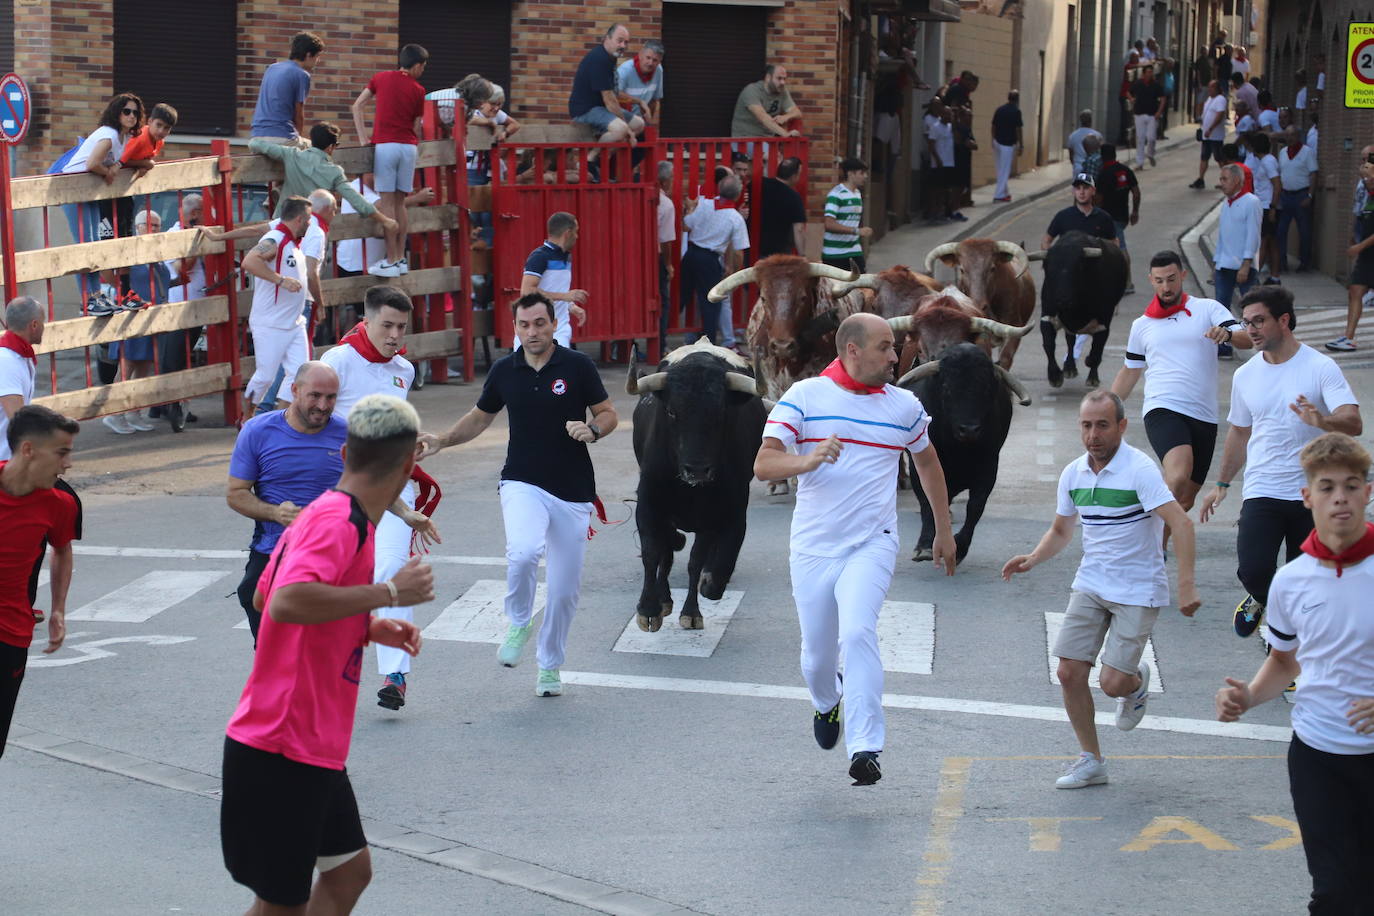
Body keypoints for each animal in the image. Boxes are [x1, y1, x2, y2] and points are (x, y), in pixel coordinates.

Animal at [629, 343, 769, 631]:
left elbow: (700, 562)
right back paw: (665, 597)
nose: (696, 469)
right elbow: (652, 552)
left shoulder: (721, 514)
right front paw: (649, 608)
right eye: (672, 411)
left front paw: (693, 609)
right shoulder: (648, 502)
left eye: (720, 413)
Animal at [1033, 230, 1126, 390]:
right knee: (1070, 341)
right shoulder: (1047, 316)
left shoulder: (1103, 323)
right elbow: (1049, 345)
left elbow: (1096, 351)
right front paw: (1055, 376)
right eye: (1048, 268)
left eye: (1078, 267)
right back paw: (1069, 367)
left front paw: (1091, 371)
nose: (1062, 299)